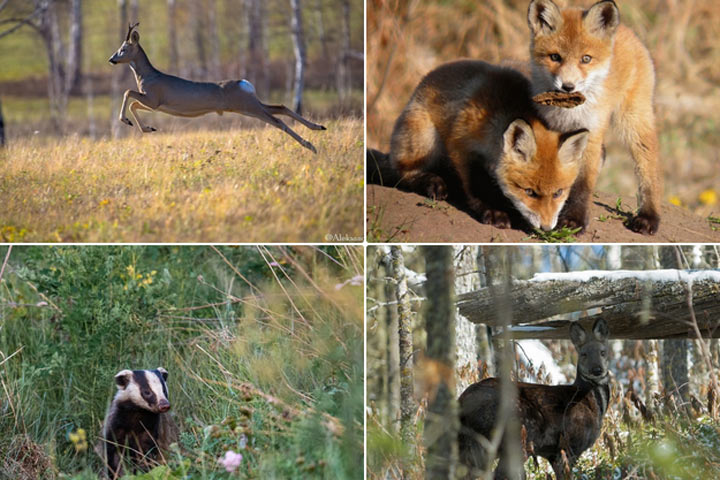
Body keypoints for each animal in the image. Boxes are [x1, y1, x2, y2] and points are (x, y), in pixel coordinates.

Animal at [107, 23, 326, 153]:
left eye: (123, 49)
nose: (111, 59)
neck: (146, 76)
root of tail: (245, 83)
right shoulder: (155, 103)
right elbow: (133, 102)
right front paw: (147, 128)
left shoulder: (154, 99)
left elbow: (128, 93)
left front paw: (129, 122)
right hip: (249, 104)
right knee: (281, 107)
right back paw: (318, 128)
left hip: (247, 105)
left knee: (277, 120)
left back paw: (311, 146)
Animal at [458, 316, 612, 478]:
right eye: (583, 354)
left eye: (603, 352)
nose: (597, 370)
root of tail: (463, 401)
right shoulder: (571, 443)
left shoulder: (553, 452)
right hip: (519, 436)